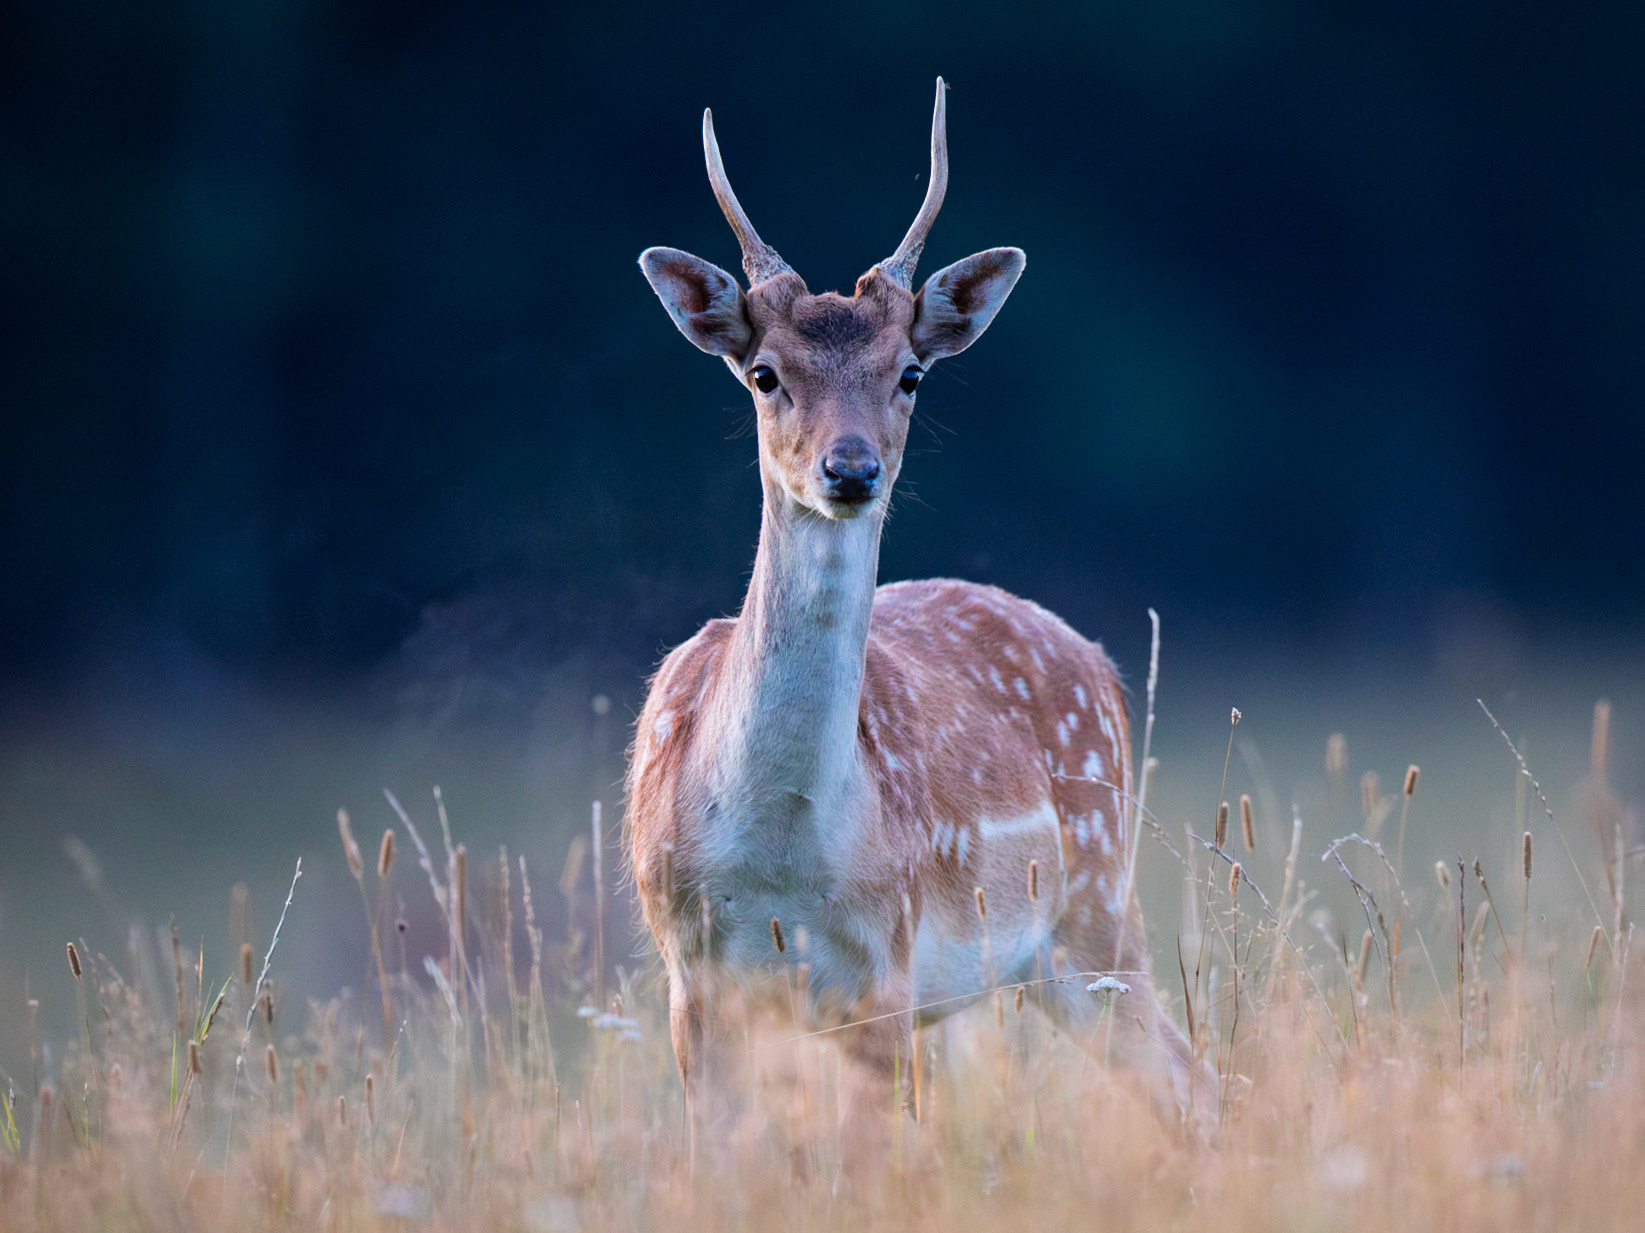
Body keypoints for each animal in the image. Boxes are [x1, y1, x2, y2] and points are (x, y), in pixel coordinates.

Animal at [627, 79, 1206, 1141]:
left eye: (910, 372)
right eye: (764, 373)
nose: (850, 468)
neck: (776, 859)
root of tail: (1101, 663)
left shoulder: (882, 963)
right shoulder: (691, 977)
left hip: (1093, 909)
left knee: (1196, 1082)